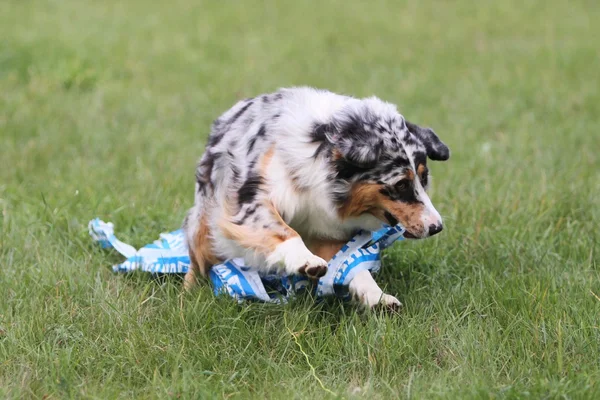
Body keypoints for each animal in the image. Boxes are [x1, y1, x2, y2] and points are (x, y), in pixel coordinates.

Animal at [184, 86, 450, 308]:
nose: (436, 227)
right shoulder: (251, 199)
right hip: (204, 227)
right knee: (198, 260)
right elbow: (282, 231)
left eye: (424, 178)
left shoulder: (325, 229)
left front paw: (378, 297)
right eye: (401, 184)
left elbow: (349, 265)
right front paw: (306, 261)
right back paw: (188, 294)